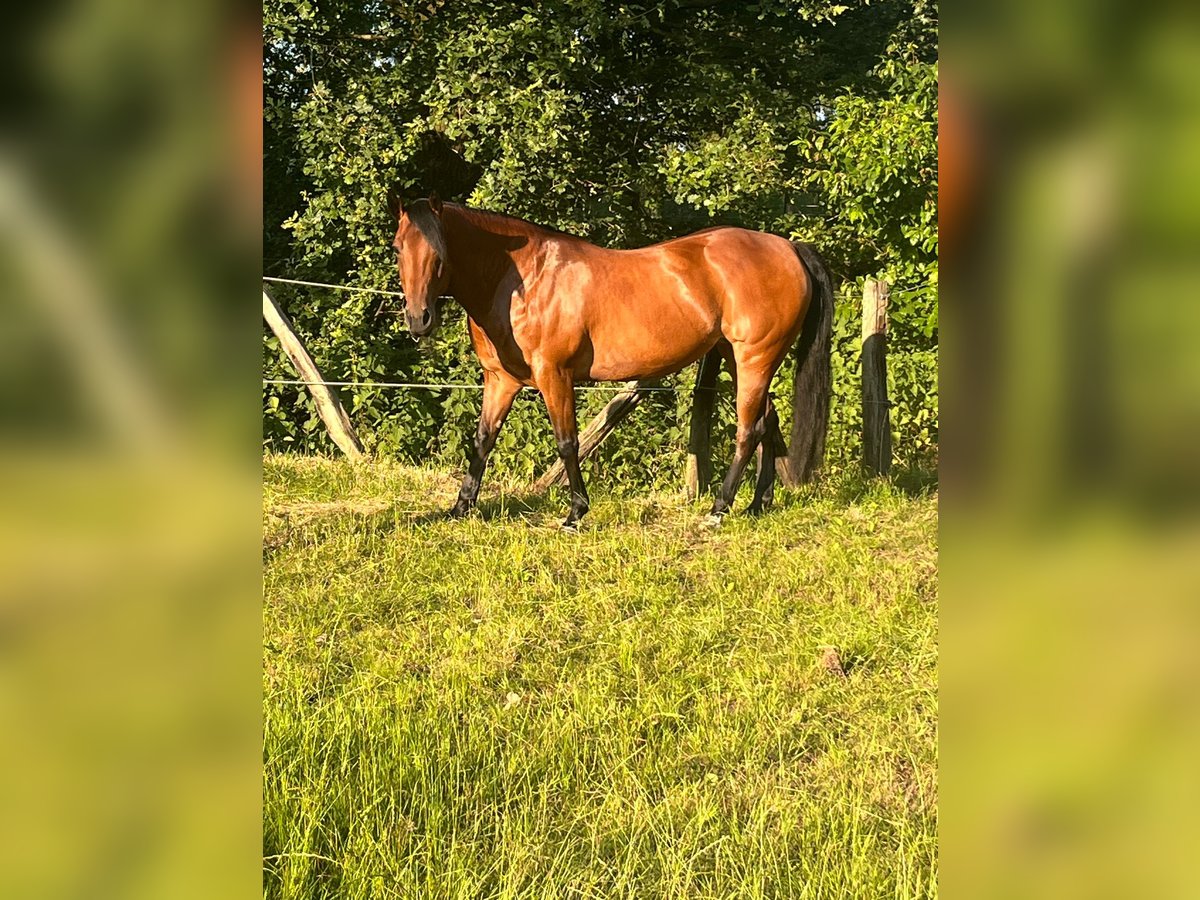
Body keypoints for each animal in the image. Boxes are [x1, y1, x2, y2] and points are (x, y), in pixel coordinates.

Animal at [388, 192, 830, 528]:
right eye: (398, 247)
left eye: (439, 251)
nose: (418, 319)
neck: (523, 280)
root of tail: (789, 248)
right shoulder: (500, 380)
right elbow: (482, 440)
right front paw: (460, 507)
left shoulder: (555, 375)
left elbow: (567, 442)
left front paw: (575, 514)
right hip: (738, 359)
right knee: (768, 422)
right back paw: (757, 505)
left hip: (755, 358)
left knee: (747, 431)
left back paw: (718, 510)